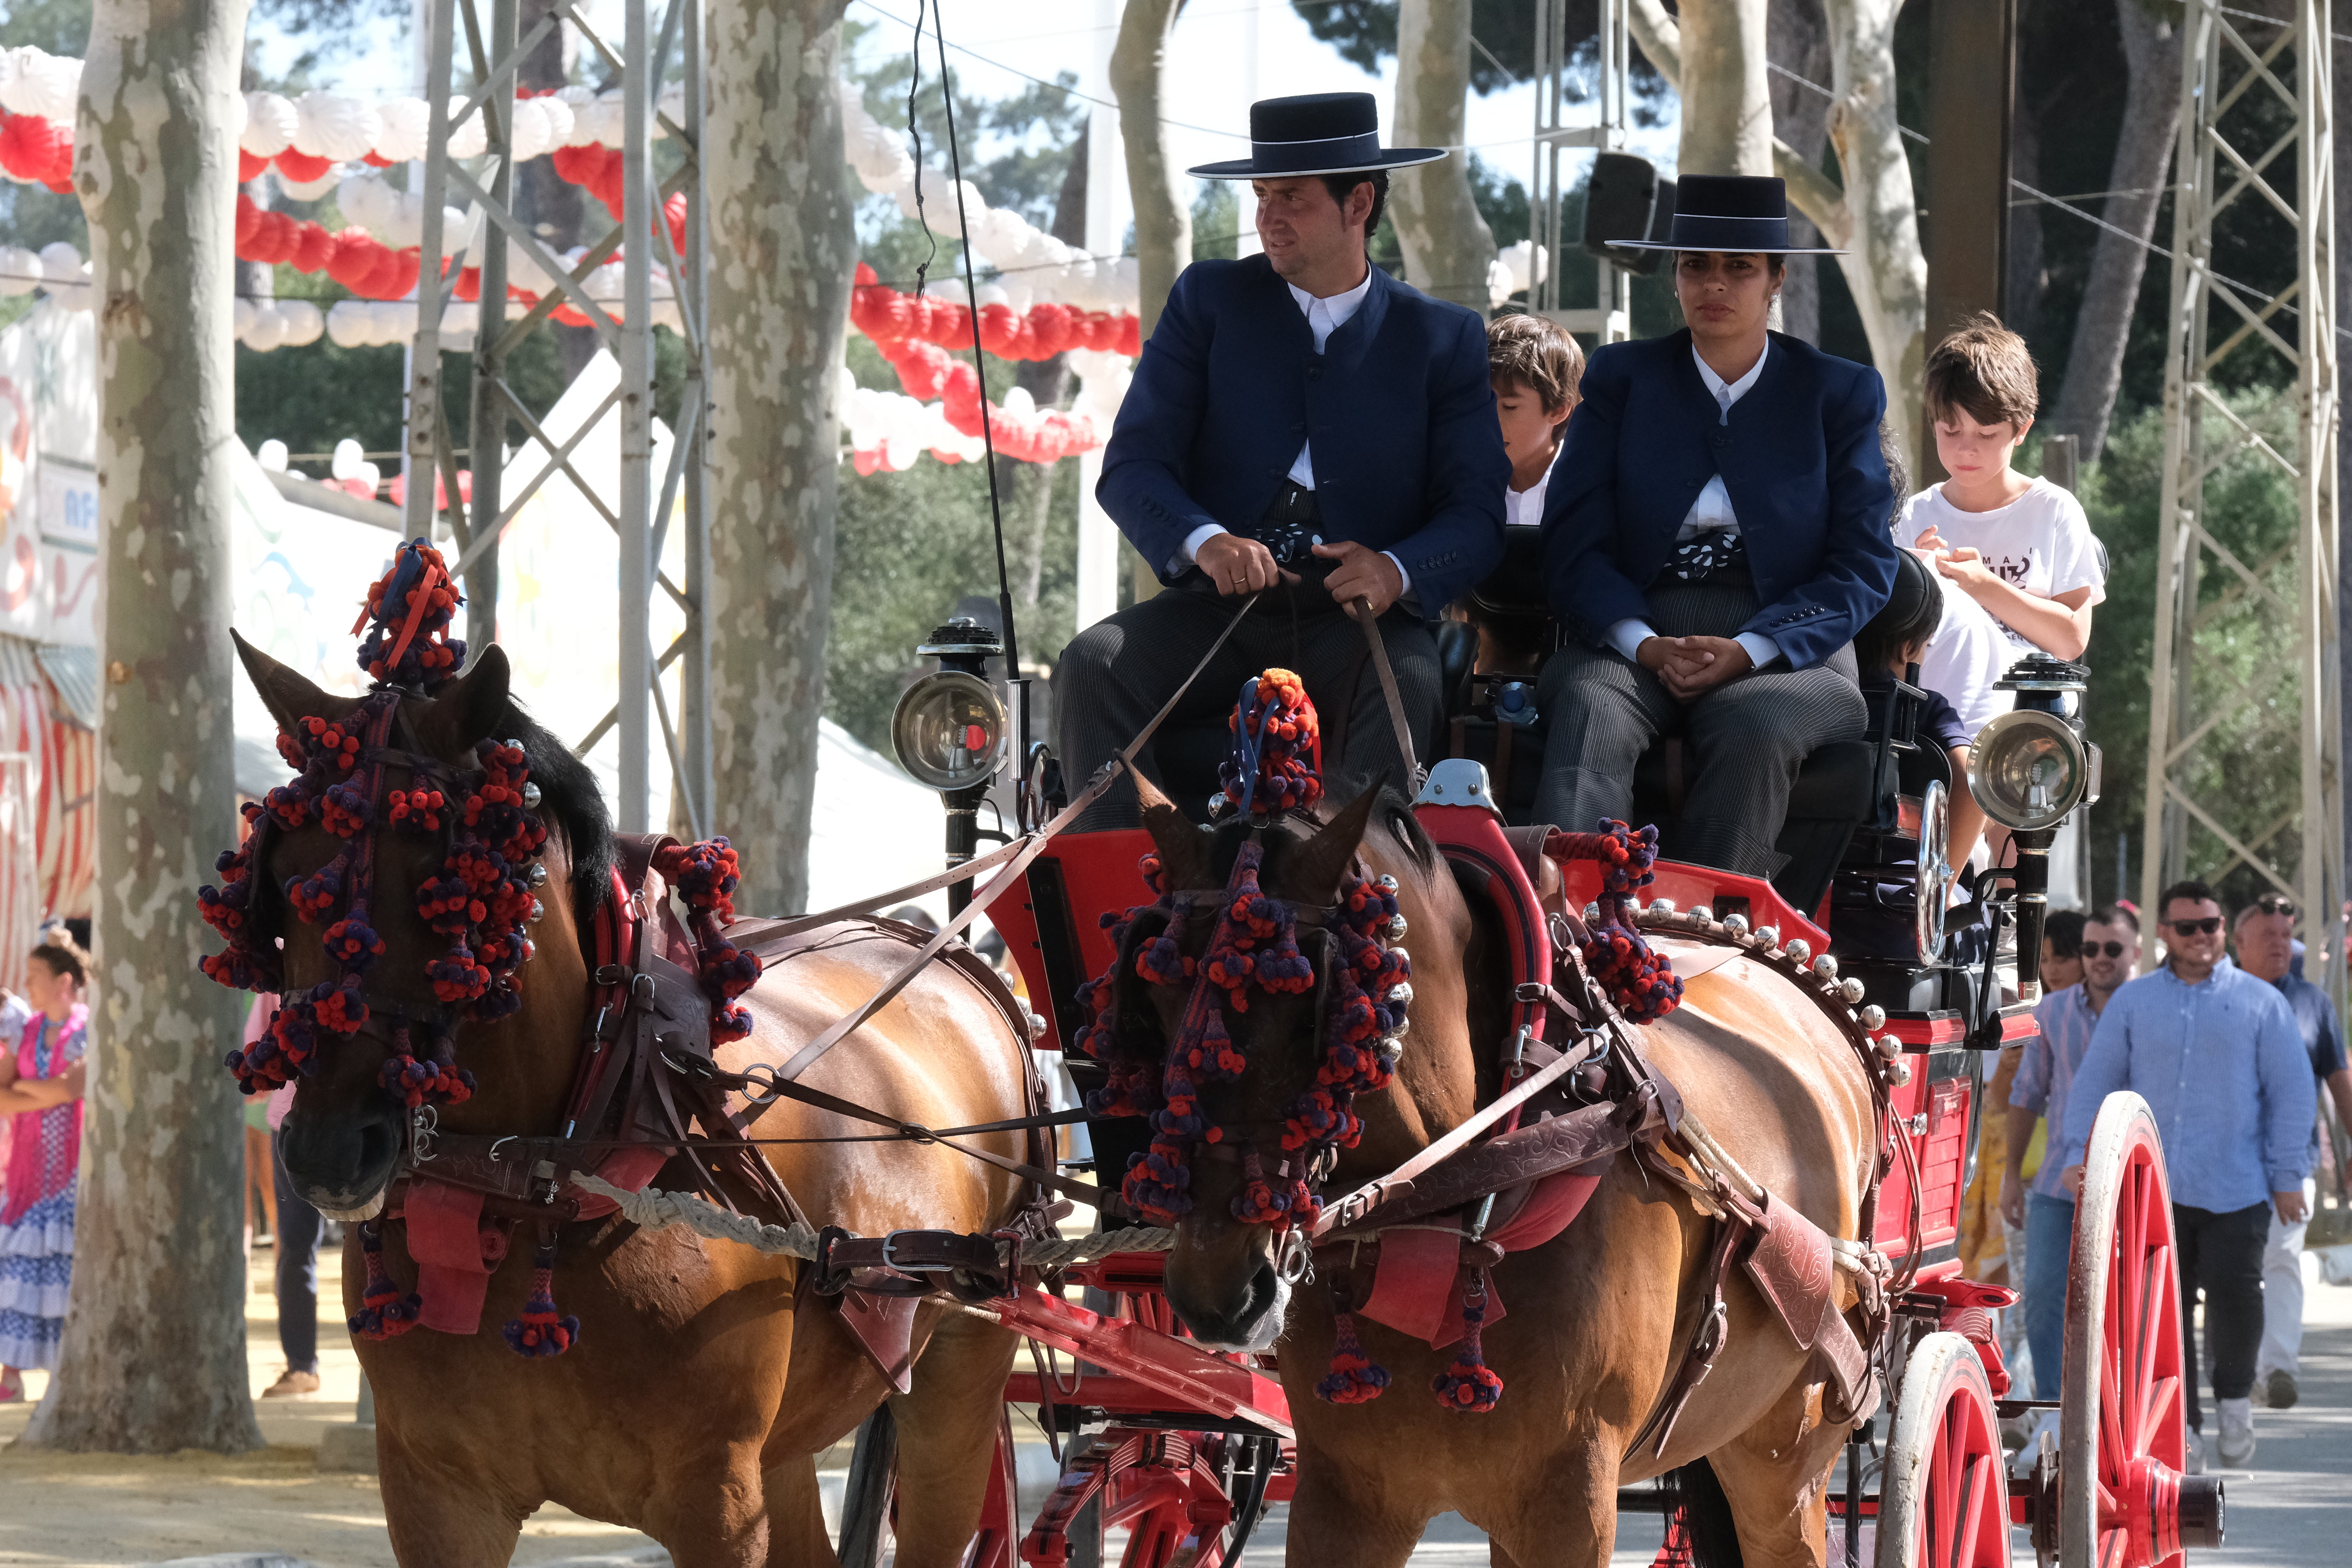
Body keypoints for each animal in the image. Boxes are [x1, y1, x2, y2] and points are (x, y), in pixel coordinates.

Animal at [236, 639, 1030, 1568]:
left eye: (444, 874)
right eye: (284, 878)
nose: (326, 1150)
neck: (538, 1176)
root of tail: (948, 954)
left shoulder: (714, 1499)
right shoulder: (435, 1494)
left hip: (964, 1364)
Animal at [1129, 780, 1882, 1568]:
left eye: (1320, 1017)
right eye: (1156, 1001)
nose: (1215, 1293)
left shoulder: (1569, 1505)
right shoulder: (1345, 1502)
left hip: (1786, 1454)